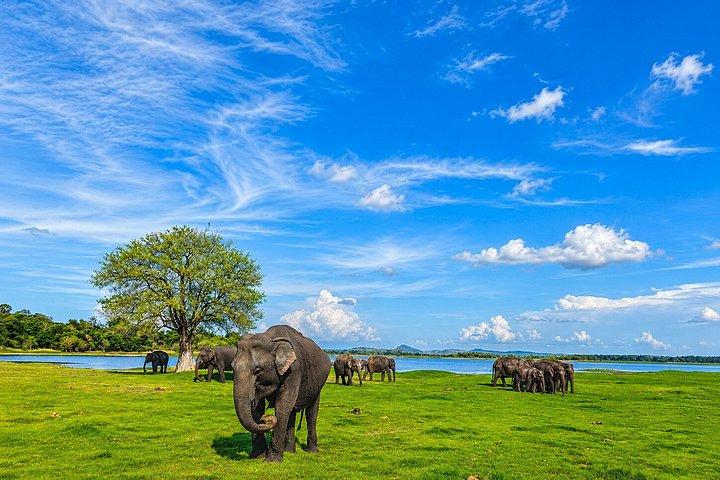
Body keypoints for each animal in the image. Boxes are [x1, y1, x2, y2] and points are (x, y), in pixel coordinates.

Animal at [232, 325, 331, 462]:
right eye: (232, 368)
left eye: (258, 370)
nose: (266, 419)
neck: (271, 338)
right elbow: (257, 407)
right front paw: (257, 457)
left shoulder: (294, 371)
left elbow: (283, 405)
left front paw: (271, 461)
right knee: (292, 412)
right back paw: (289, 451)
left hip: (318, 385)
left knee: (311, 412)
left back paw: (311, 451)